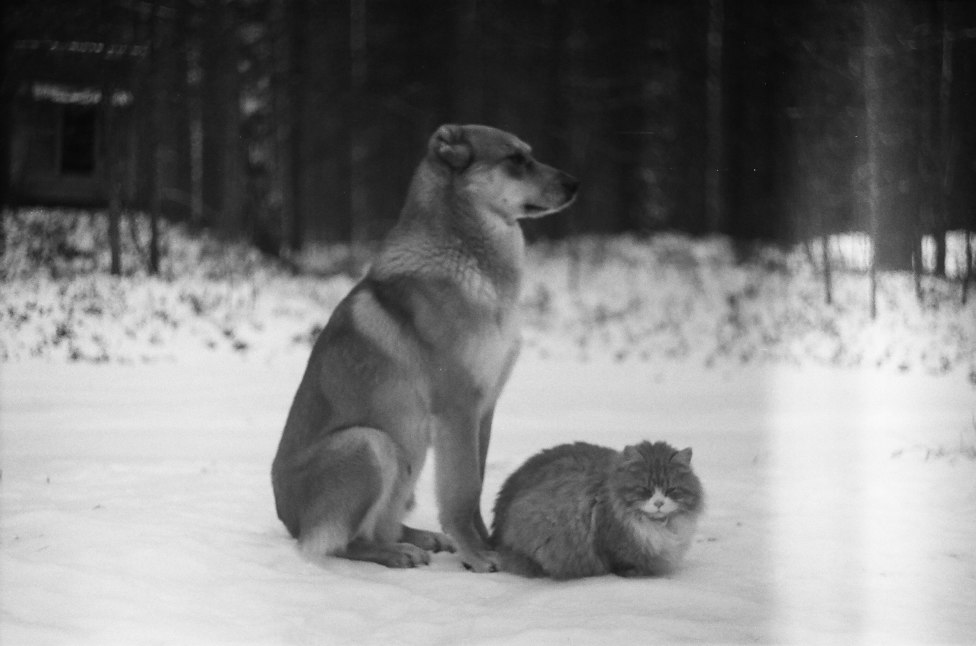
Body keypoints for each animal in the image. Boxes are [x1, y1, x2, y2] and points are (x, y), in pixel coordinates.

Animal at [270, 123, 576, 572]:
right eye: (515, 159)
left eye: (529, 154)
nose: (576, 183)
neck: (467, 256)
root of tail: (287, 521)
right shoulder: (458, 406)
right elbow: (463, 490)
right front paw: (476, 555)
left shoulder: (485, 407)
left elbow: (477, 486)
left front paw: (487, 544)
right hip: (372, 444)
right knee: (345, 542)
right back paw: (395, 553)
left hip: (406, 458)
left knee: (384, 524)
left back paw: (419, 537)